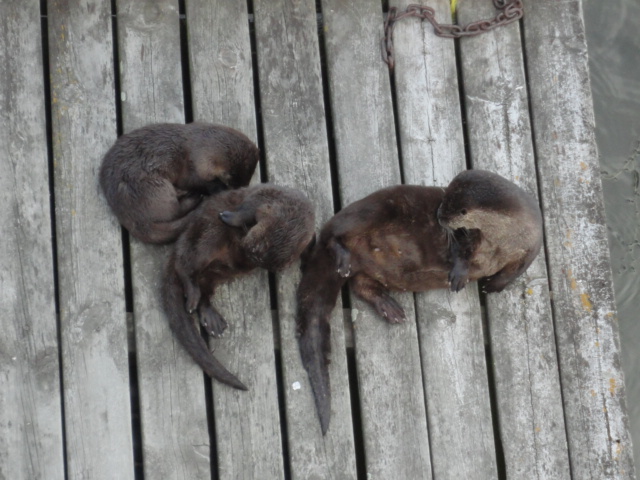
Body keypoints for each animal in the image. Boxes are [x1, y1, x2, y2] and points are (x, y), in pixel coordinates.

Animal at [99, 122, 259, 244]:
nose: (240, 193)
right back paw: (193, 197)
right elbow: (205, 183)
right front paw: (218, 190)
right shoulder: (193, 171)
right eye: (231, 183)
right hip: (158, 190)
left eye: (246, 183)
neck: (194, 150)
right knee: (173, 211)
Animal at [163, 184, 315, 389]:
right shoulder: (267, 197)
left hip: (218, 272)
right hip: (207, 233)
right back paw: (192, 294)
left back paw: (212, 319)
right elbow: (248, 208)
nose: (241, 258)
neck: (293, 211)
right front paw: (230, 217)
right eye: (251, 233)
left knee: (205, 286)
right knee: (185, 263)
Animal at [297, 169, 543, 434]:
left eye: (455, 211)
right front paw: (460, 273)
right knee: (333, 233)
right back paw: (341, 255)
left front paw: (493, 285)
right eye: (443, 201)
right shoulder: (467, 236)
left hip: (369, 268)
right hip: (372, 210)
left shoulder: (530, 246)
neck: (502, 239)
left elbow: (513, 273)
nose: (438, 216)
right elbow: (461, 250)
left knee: (361, 285)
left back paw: (390, 308)